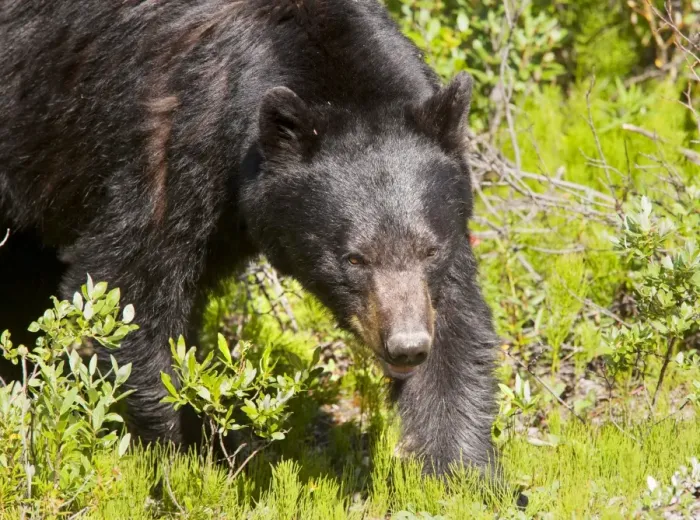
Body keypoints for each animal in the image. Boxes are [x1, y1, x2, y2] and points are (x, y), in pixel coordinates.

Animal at [0, 0, 501, 481]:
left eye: (429, 249)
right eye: (354, 259)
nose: (407, 345)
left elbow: (457, 326)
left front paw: (459, 475)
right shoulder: (172, 143)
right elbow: (126, 285)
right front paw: (187, 451)